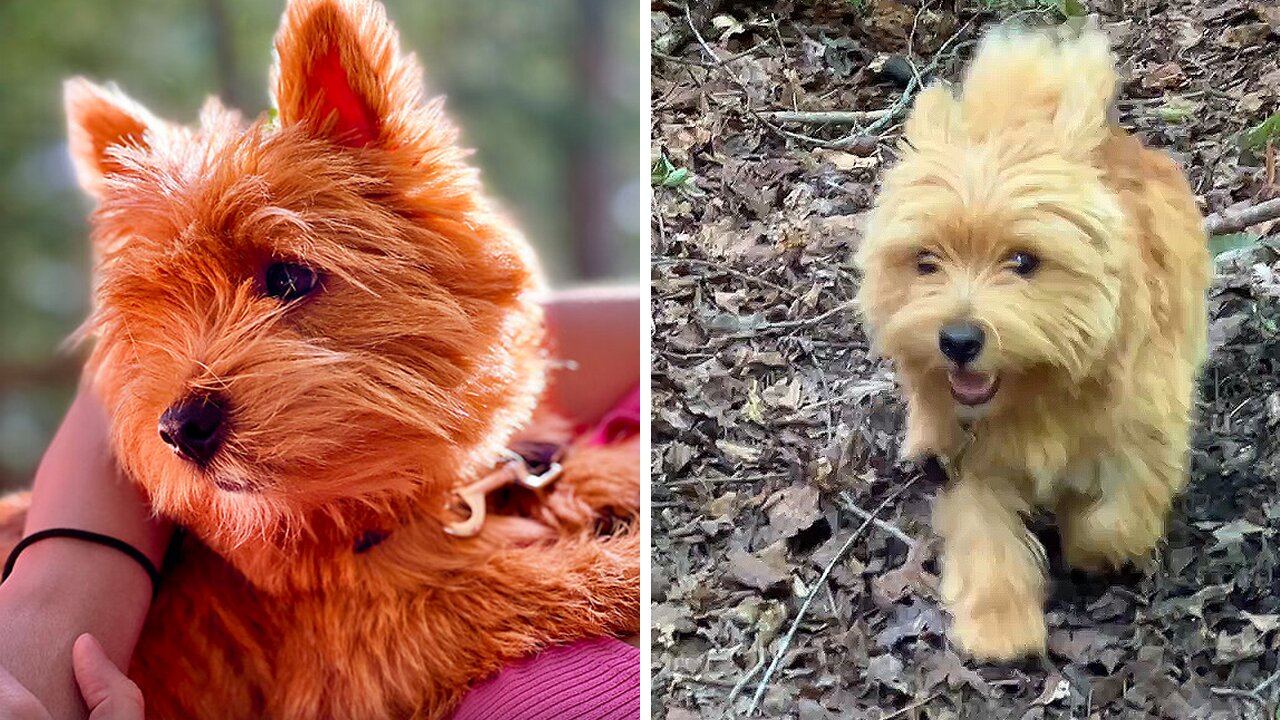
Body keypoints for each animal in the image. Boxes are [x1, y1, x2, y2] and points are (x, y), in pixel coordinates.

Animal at [0, 0, 640, 712]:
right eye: (155, 317)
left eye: (288, 277)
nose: (179, 428)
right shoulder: (374, 645)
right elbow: (520, 581)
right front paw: (628, 567)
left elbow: (569, 472)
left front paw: (617, 477)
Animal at [860, 20, 1208, 661]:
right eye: (926, 262)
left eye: (1024, 261)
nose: (958, 340)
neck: (1039, 388)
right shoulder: (977, 458)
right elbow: (985, 528)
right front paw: (998, 626)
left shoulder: (1146, 428)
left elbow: (1118, 513)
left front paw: (1092, 546)